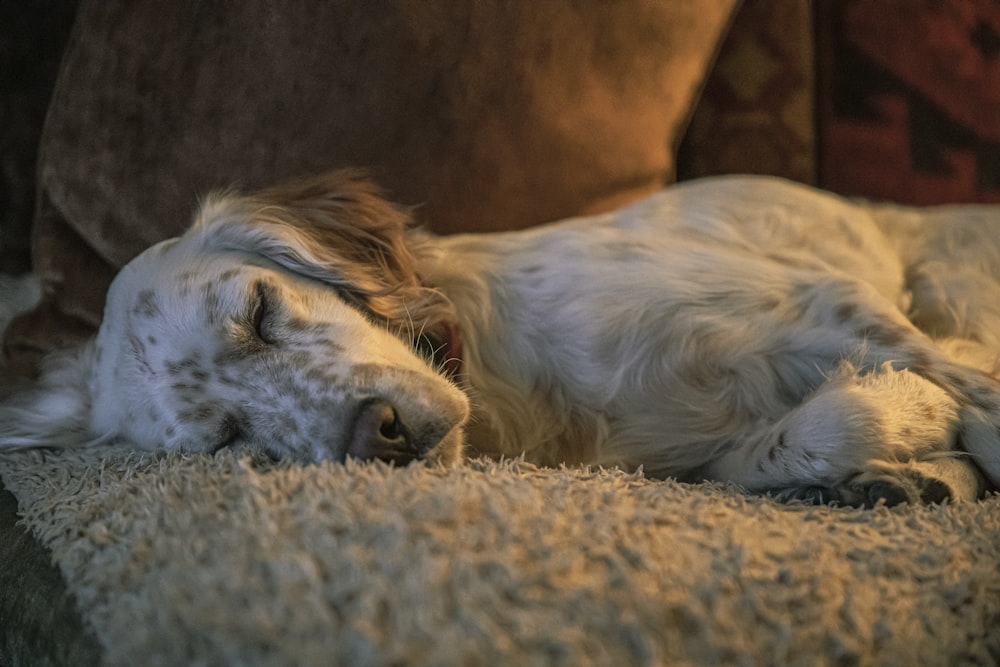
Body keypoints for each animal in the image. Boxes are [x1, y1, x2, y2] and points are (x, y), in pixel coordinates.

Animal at [1, 172, 1000, 506]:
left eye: (259, 308)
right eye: (228, 439)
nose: (379, 434)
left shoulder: (825, 299)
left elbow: (973, 394)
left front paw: (917, 418)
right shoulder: (685, 460)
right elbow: (804, 436)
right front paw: (897, 431)